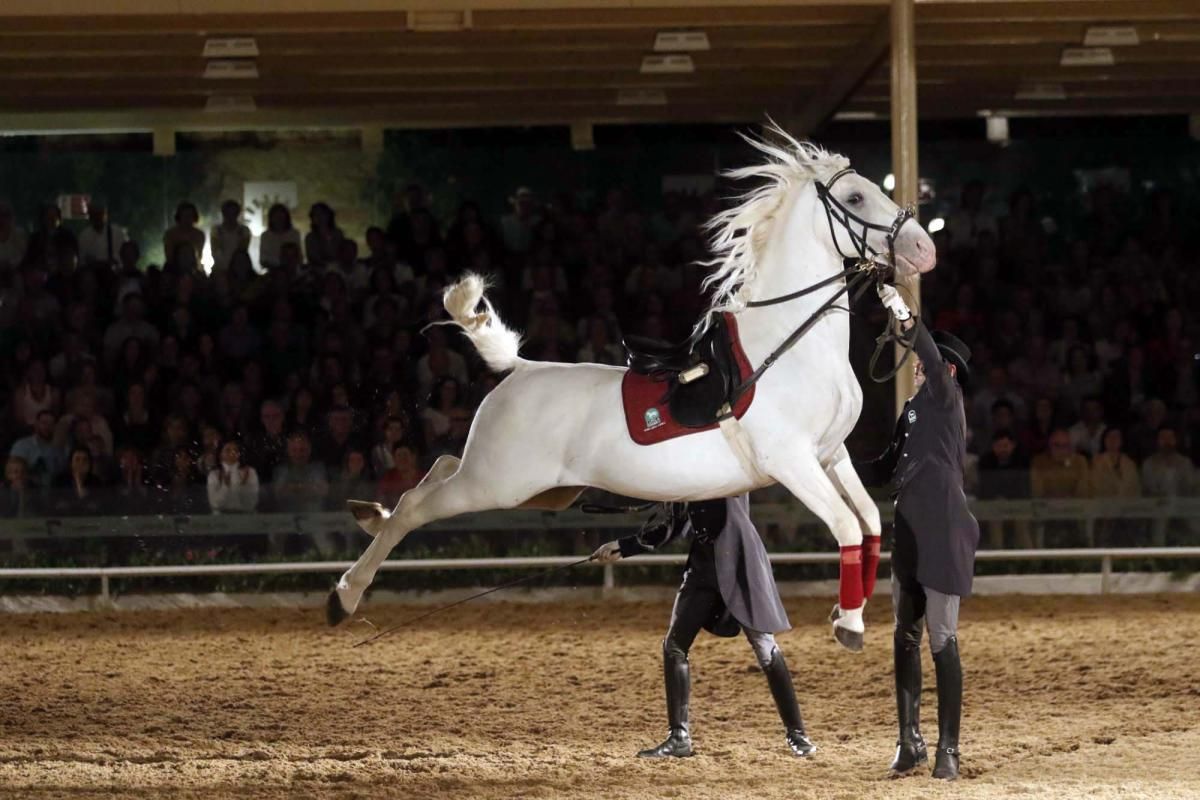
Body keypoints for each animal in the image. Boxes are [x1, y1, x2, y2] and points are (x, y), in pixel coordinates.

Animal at [328, 128, 936, 647]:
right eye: (855, 198)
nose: (923, 250)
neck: (789, 346)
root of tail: (520, 369)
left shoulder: (831, 455)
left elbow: (870, 522)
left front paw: (845, 612)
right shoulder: (791, 462)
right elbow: (846, 526)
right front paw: (850, 625)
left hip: (528, 486)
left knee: (435, 470)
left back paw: (366, 518)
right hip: (495, 484)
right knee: (414, 506)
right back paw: (344, 595)